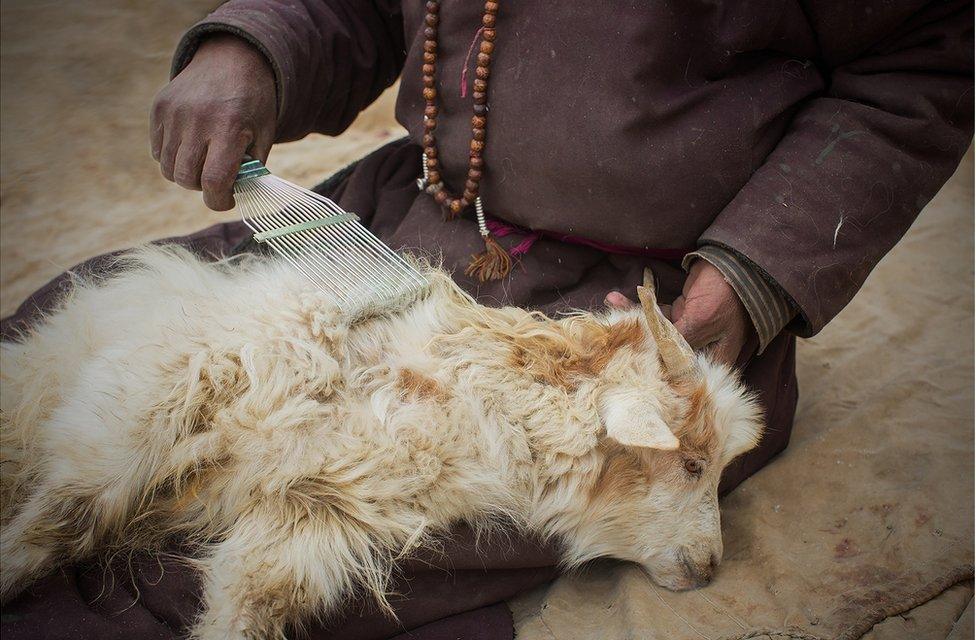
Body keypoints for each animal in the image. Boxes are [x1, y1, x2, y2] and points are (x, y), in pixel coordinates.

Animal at [0, 246, 764, 640]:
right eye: (692, 463)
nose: (710, 567)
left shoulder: (313, 512)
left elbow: (249, 601)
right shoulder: (149, 399)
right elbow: (58, 522)